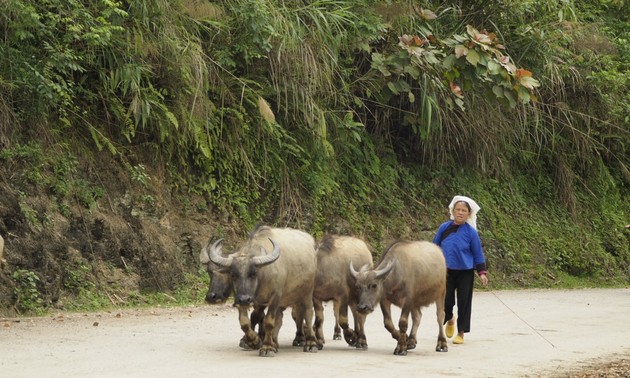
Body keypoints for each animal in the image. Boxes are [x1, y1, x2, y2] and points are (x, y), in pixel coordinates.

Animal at [209, 224, 320, 358]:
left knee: (307, 314)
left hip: (306, 293)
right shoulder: (244, 299)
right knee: (281, 318)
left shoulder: (275, 297)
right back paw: (275, 342)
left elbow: (268, 321)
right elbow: (245, 322)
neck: (262, 278)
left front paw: (267, 347)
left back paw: (310, 343)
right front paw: (254, 341)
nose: (245, 299)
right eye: (233, 275)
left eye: (253, 273)